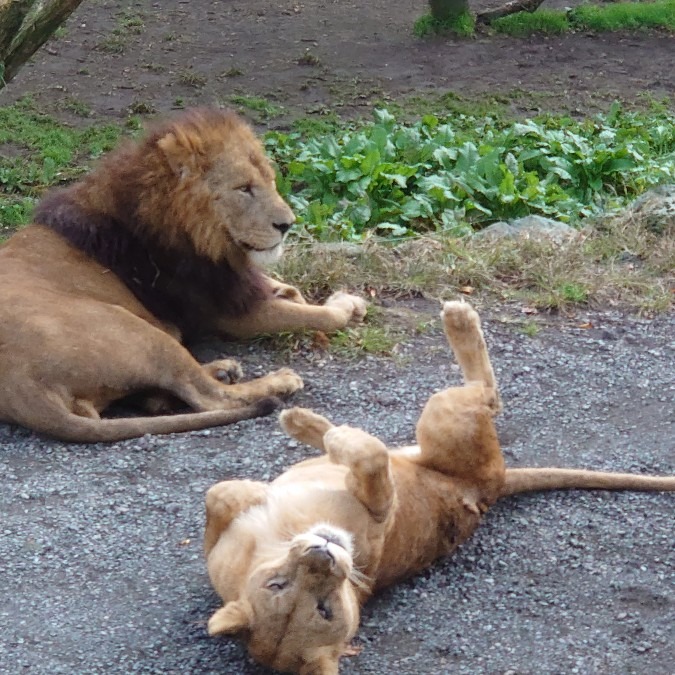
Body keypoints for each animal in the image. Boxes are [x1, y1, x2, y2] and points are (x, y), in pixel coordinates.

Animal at [0, 107, 370, 440]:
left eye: (270, 181)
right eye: (244, 188)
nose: (288, 224)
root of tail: (19, 386)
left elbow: (289, 291)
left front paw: (338, 298)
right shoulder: (232, 313)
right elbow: (322, 318)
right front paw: (341, 308)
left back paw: (222, 369)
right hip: (138, 332)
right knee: (209, 398)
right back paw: (276, 382)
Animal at [205, 302, 675, 675]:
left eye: (322, 607)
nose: (322, 553)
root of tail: (493, 486)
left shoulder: (377, 506)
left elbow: (224, 497)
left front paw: (262, 489)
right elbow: (367, 457)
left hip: (439, 419)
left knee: (481, 396)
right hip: (446, 421)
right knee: (482, 398)